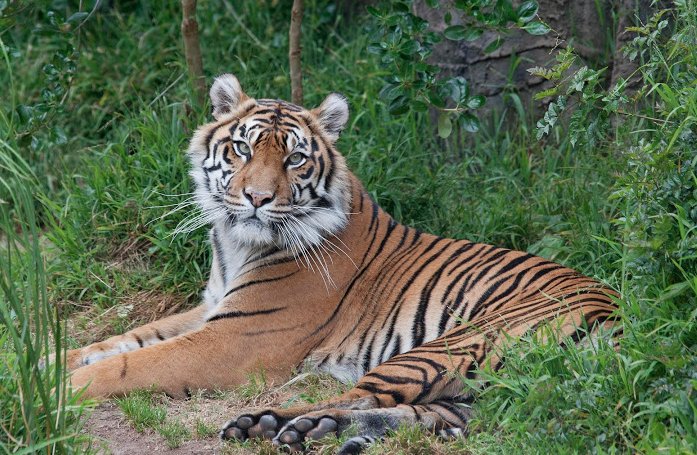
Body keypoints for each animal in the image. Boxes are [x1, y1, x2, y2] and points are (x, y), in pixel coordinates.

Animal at [65, 74, 616, 452]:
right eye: (241, 148)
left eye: (294, 159)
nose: (257, 198)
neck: (235, 244)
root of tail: (616, 315)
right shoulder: (209, 310)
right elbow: (117, 342)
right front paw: (51, 360)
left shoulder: (233, 339)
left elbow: (130, 364)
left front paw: (59, 388)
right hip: (470, 385)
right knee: (425, 413)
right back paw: (297, 426)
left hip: (451, 343)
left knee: (365, 397)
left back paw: (277, 422)